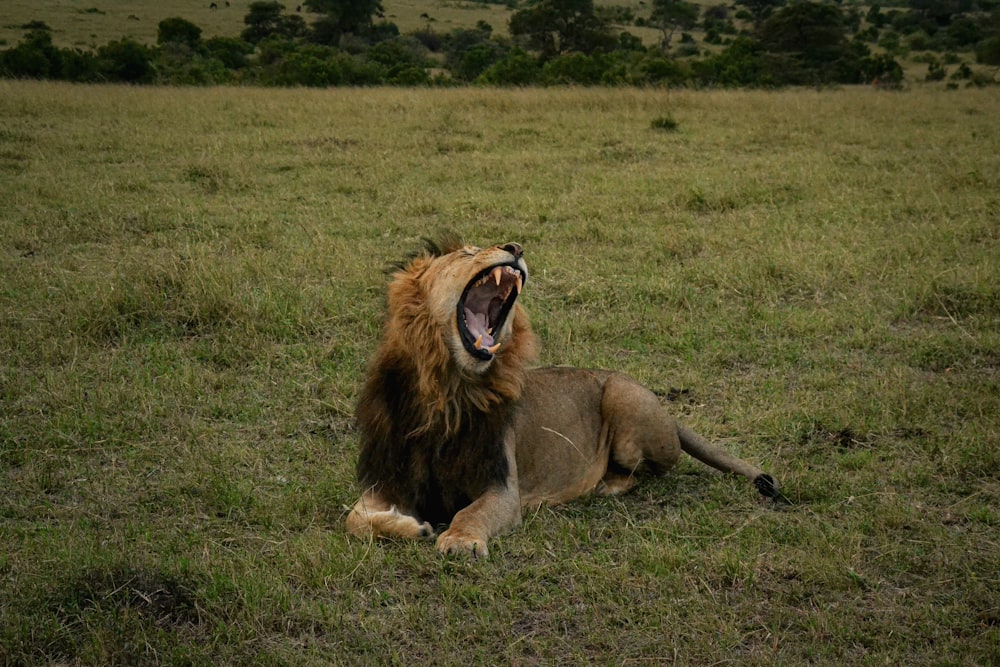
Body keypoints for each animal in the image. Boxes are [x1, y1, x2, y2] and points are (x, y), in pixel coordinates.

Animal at [348, 235, 776, 560]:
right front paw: (412, 526)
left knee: (648, 472)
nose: (515, 246)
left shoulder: (502, 487)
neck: (447, 389)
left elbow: (471, 513)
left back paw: (604, 485)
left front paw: (459, 540)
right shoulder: (388, 479)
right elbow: (354, 519)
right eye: (466, 253)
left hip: (623, 400)